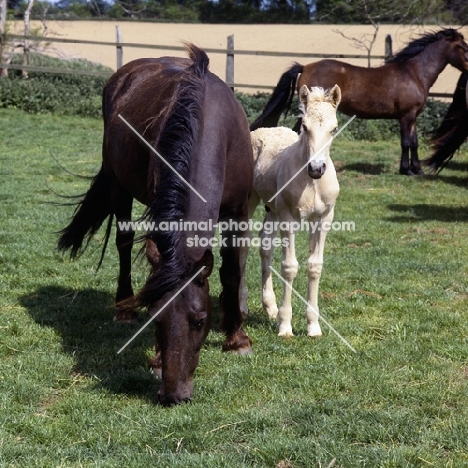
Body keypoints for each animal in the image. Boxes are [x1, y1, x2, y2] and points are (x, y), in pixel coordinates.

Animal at [59, 44, 256, 406]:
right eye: (155, 317)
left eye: (200, 321)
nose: (173, 394)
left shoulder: (238, 212)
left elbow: (232, 272)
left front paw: (237, 339)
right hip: (118, 186)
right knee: (123, 242)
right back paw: (122, 307)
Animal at [249, 85, 340, 336]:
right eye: (304, 127)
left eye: (334, 128)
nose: (316, 168)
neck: (312, 183)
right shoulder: (288, 218)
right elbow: (290, 267)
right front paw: (285, 326)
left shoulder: (324, 219)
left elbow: (314, 266)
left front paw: (313, 326)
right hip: (252, 201)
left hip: (272, 209)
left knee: (265, 246)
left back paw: (269, 307)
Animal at [250, 28, 468, 176]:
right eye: (462, 47)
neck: (413, 73)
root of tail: (305, 67)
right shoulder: (407, 116)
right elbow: (407, 142)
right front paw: (407, 169)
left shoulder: (411, 117)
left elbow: (413, 142)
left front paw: (416, 170)